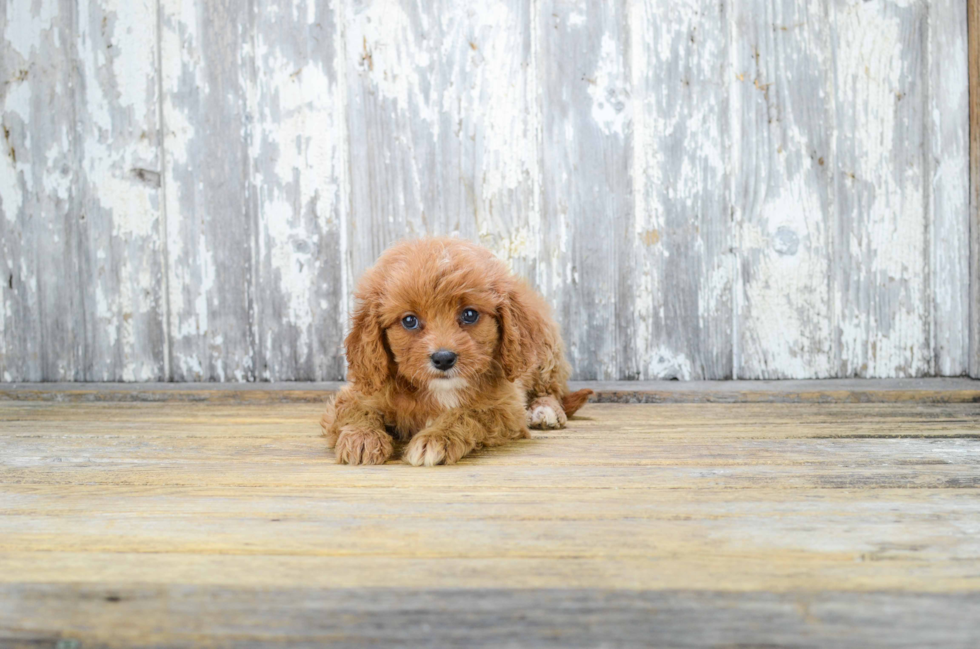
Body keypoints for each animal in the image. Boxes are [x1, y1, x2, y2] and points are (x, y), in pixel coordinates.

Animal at [326, 235, 592, 464]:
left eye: (469, 314)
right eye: (409, 320)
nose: (443, 359)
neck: (439, 390)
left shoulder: (506, 408)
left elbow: (467, 413)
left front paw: (435, 438)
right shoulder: (357, 392)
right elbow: (357, 410)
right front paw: (362, 438)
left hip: (545, 351)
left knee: (551, 389)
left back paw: (545, 410)